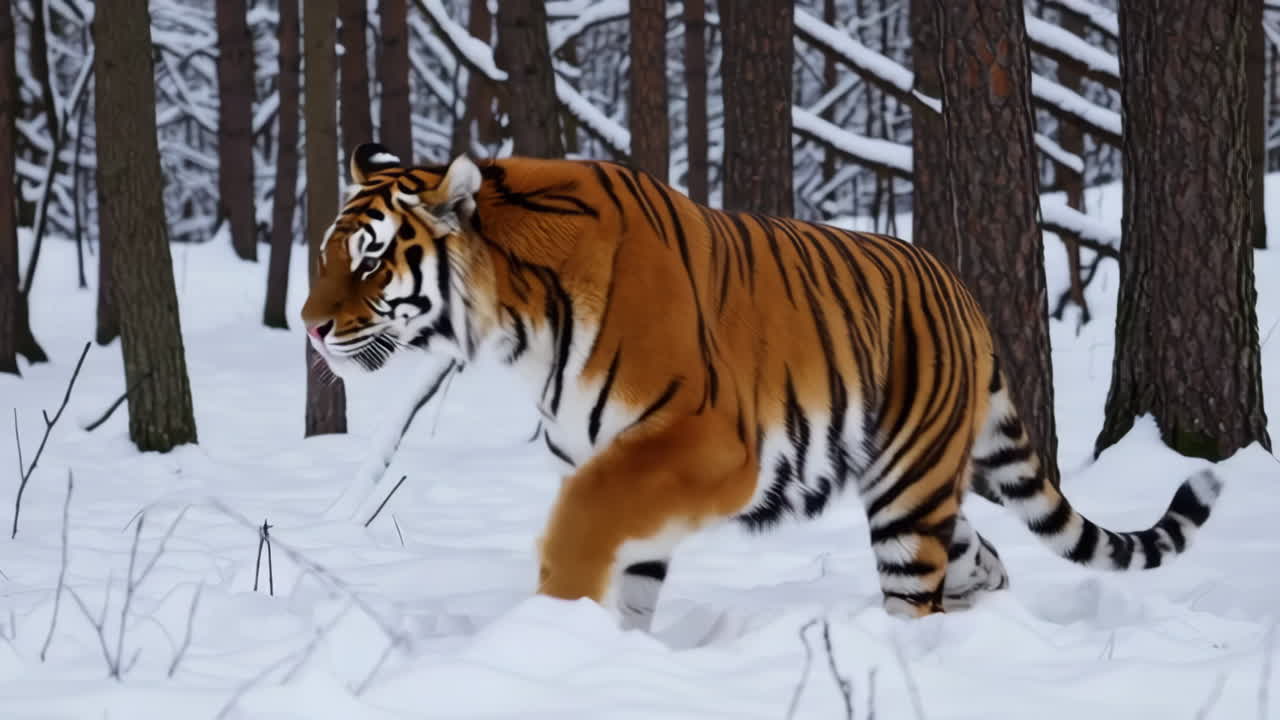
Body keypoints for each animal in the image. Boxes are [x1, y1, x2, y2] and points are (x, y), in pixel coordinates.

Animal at [301, 142, 1223, 629]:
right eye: (325, 254)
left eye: (371, 261)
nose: (309, 326)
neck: (521, 321)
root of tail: (962, 292)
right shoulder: (617, 456)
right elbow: (630, 567)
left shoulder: (702, 439)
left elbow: (582, 525)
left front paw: (556, 620)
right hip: (923, 488)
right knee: (982, 554)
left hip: (908, 488)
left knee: (916, 587)